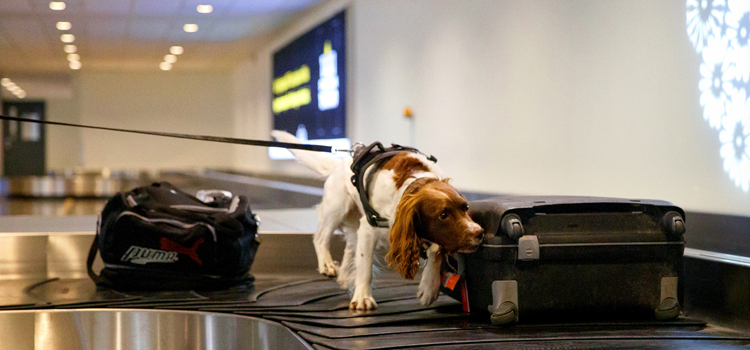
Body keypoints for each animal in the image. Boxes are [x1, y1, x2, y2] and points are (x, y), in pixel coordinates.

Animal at [274, 131, 484, 308]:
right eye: (443, 215)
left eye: (465, 208)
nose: (479, 233)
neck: (413, 185)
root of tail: (341, 161)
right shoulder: (369, 229)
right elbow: (365, 266)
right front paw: (362, 298)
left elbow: (436, 250)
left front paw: (429, 287)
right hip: (338, 207)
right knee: (320, 237)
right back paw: (326, 264)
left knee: (349, 246)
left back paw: (344, 276)